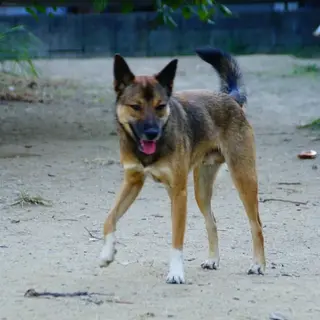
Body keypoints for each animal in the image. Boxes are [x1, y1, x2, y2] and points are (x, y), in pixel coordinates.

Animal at [99, 46, 264, 284]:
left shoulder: (178, 193)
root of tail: (230, 98)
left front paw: (176, 272)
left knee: (256, 224)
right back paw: (213, 259)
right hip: (201, 190)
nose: (152, 133)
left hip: (243, 178)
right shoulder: (132, 182)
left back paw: (258, 264)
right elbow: (109, 218)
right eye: (135, 106)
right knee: (212, 222)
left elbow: (177, 240)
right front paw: (107, 253)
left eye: (160, 106)